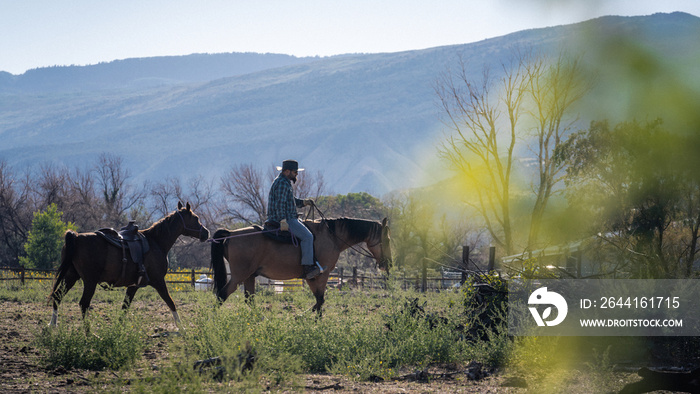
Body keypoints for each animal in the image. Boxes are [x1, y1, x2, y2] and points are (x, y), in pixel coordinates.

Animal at [48, 203, 209, 326]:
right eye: (196, 218)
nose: (206, 233)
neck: (155, 241)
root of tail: (76, 237)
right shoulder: (158, 281)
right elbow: (171, 303)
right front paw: (182, 328)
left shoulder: (133, 286)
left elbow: (125, 307)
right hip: (89, 282)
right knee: (83, 304)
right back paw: (89, 334)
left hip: (71, 276)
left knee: (57, 297)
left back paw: (52, 326)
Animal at [208, 217, 394, 316]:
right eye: (387, 240)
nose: (388, 264)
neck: (332, 237)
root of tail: (231, 234)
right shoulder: (319, 275)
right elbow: (320, 299)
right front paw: (310, 319)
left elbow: (319, 300)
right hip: (239, 275)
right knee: (222, 294)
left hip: (249, 276)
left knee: (249, 299)